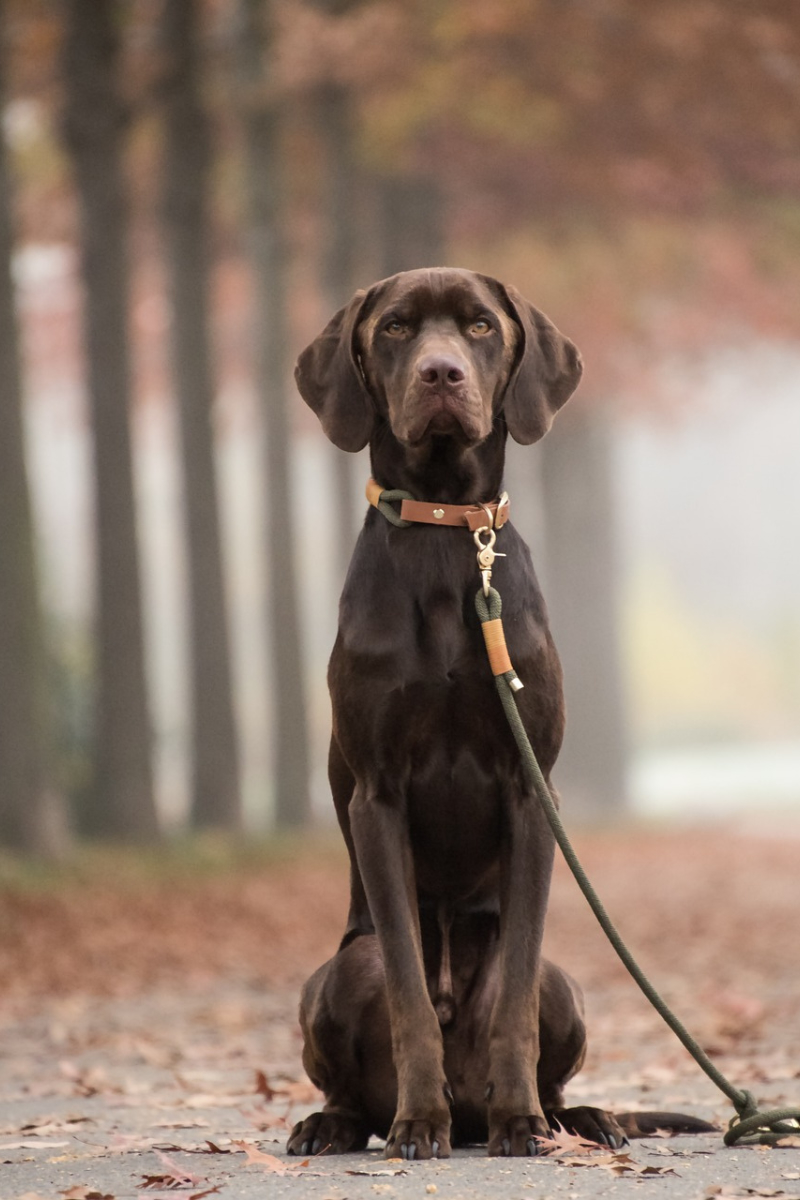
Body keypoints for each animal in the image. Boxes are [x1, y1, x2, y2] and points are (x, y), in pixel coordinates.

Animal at [287, 267, 714, 1156]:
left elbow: (513, 990)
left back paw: (567, 1117)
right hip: (336, 973)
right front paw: (417, 1122)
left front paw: (524, 1120)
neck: (451, 534)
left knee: (540, 1026)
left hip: (566, 985)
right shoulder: (376, 796)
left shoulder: (530, 792)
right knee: (360, 1062)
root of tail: (468, 1107)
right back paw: (344, 1121)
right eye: (395, 328)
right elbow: (411, 992)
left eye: (481, 326)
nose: (440, 373)